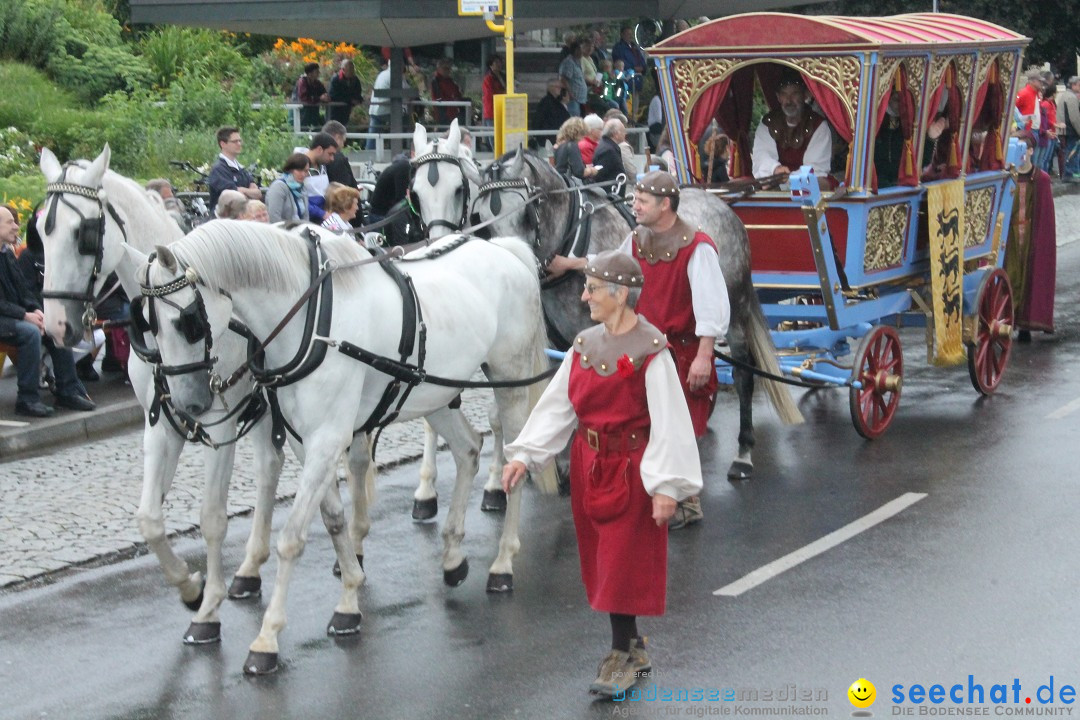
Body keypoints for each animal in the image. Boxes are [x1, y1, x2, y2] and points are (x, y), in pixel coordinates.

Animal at [37, 144, 295, 643]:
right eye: (40, 230)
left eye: (84, 233)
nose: (56, 325)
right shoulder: (161, 421)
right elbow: (149, 520)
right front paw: (190, 588)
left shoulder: (220, 421)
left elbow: (212, 518)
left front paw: (208, 609)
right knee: (269, 467)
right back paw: (251, 568)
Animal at [139, 221, 552, 677]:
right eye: (149, 325)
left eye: (187, 322)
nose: (186, 404)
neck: (312, 321)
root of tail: (503, 249)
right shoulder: (305, 439)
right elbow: (333, 518)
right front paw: (350, 597)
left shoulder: (328, 436)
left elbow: (292, 538)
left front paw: (267, 638)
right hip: (434, 393)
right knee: (468, 449)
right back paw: (452, 555)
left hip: (508, 378)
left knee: (513, 457)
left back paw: (502, 563)